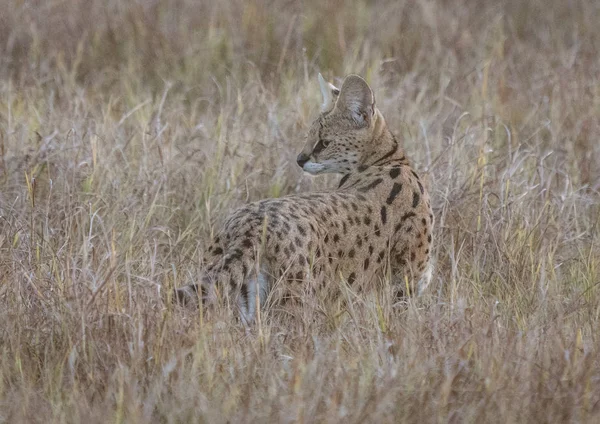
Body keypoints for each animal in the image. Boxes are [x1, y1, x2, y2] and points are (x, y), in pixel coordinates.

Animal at [176, 73, 434, 324]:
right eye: (309, 137)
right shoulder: (405, 286)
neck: (389, 159)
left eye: (324, 142)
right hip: (296, 303)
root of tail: (251, 224)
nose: (299, 159)